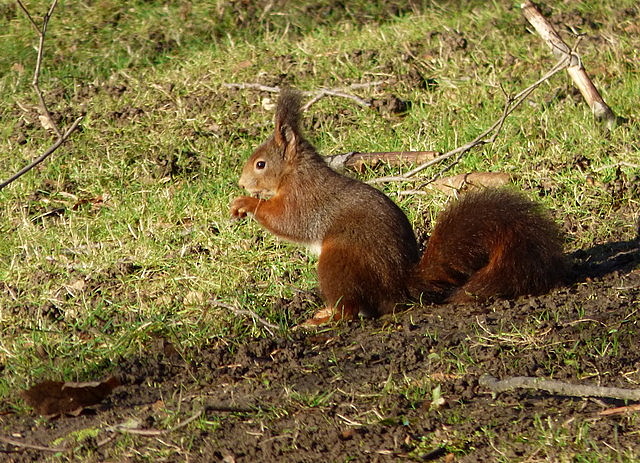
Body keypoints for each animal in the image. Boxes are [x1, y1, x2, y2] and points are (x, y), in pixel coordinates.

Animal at [230, 89, 566, 325]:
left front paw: (246, 203)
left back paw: (324, 318)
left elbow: (287, 221)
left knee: (349, 310)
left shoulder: (304, 200)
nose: (242, 183)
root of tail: (398, 286)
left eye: (260, 164)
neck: (295, 173)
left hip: (338, 259)